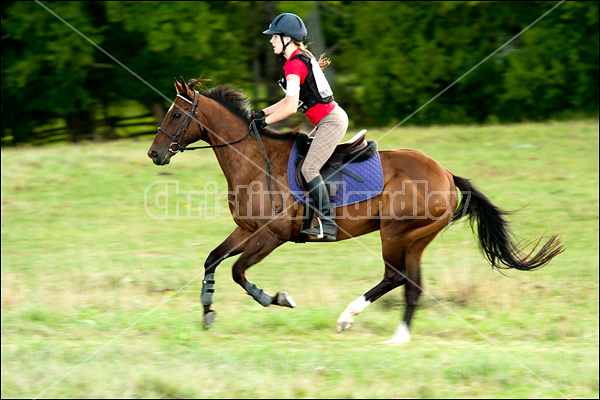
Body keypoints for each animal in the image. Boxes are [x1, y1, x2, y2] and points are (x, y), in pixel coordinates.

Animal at [148, 79, 564, 344]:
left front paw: (278, 299)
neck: (252, 159)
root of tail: (446, 173)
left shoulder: (272, 235)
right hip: (418, 238)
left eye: (175, 116)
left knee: (395, 277)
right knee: (412, 285)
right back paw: (398, 337)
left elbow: (237, 271)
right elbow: (212, 260)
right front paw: (207, 312)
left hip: (395, 233)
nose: (154, 154)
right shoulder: (247, 230)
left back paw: (349, 316)